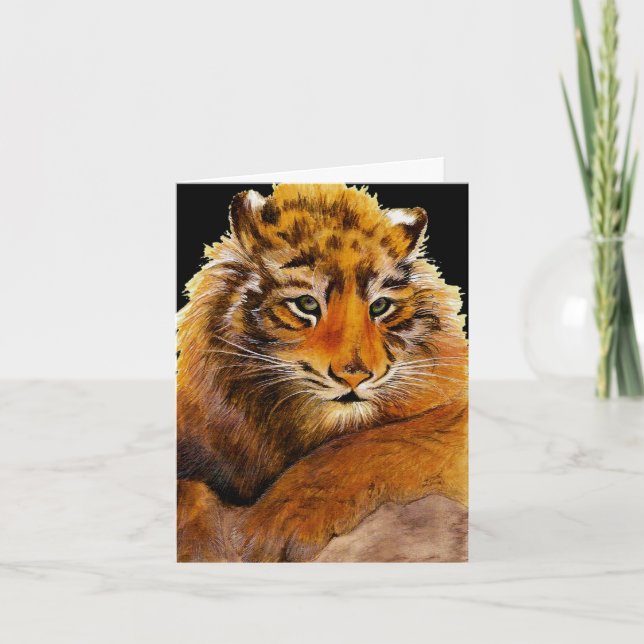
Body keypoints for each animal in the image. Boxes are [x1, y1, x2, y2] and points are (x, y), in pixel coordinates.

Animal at [177, 183, 468, 562]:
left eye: (380, 306)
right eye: (306, 304)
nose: (355, 375)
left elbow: (374, 443)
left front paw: (275, 524)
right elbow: (185, 494)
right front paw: (199, 550)